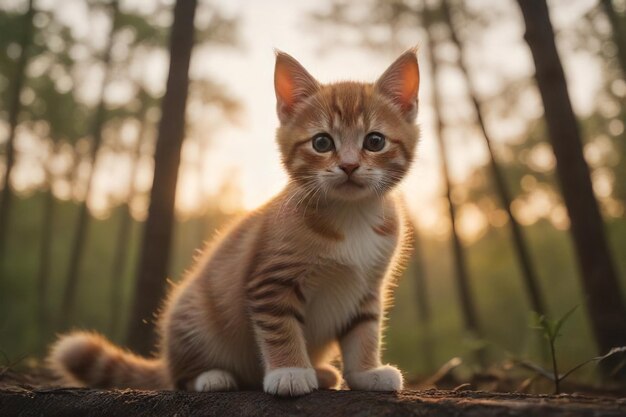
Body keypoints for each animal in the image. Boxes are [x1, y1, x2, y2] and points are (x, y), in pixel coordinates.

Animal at [47, 48, 420, 396]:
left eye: (374, 141)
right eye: (322, 142)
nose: (349, 166)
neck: (351, 214)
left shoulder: (368, 288)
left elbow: (365, 331)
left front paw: (366, 373)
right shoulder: (269, 281)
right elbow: (281, 328)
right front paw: (290, 371)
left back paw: (322, 373)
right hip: (193, 315)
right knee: (181, 377)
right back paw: (213, 376)